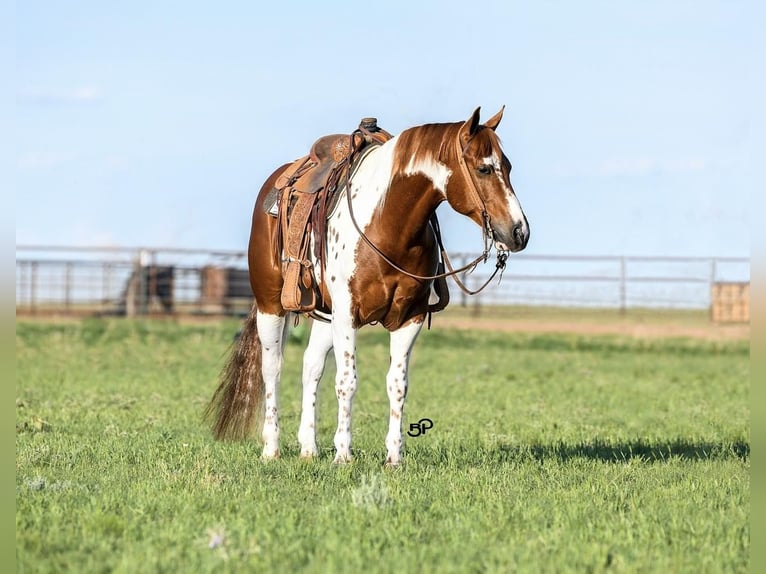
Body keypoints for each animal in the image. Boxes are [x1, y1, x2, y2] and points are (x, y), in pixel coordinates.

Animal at [204, 107, 532, 468]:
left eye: (508, 167)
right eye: (484, 168)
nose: (519, 232)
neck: (388, 224)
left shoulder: (409, 317)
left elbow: (397, 384)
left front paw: (394, 458)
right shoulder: (348, 314)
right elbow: (347, 381)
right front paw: (343, 455)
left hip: (324, 315)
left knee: (311, 367)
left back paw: (309, 448)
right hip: (271, 305)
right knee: (272, 368)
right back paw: (271, 448)